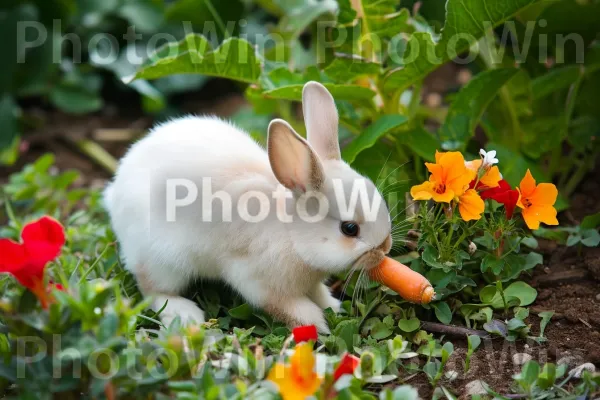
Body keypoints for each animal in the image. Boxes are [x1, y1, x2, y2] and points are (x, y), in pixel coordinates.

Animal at [104, 80, 394, 332]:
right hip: (162, 261)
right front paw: (317, 324)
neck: (291, 234)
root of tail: (115, 192)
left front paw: (332, 307)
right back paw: (184, 314)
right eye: (349, 229)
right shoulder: (258, 281)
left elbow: (318, 293)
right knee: (153, 289)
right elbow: (288, 307)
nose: (384, 248)